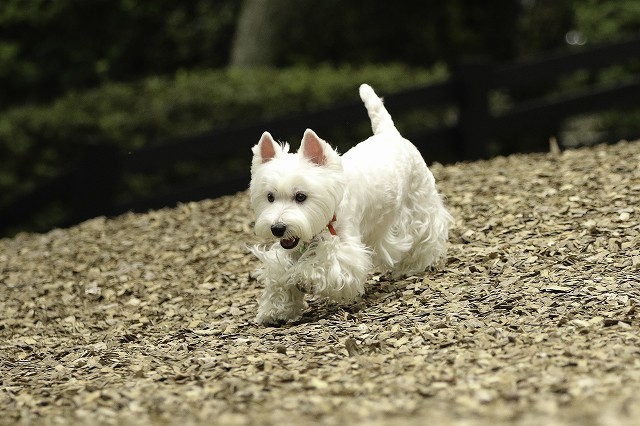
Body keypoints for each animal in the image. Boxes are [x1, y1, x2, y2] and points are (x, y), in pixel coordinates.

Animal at [249, 83, 450, 324]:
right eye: (270, 196)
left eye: (300, 196)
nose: (277, 228)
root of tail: (389, 133)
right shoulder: (291, 246)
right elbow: (279, 272)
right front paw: (276, 310)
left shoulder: (345, 247)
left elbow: (323, 265)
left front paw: (304, 277)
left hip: (419, 201)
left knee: (427, 231)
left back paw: (416, 265)